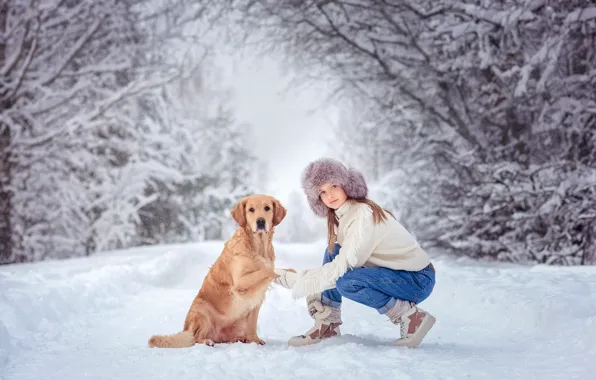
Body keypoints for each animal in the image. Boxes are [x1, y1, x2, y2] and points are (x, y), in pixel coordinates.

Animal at [150, 194, 288, 348]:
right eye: (251, 209)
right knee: (195, 337)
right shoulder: (240, 282)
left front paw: (254, 339)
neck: (258, 246)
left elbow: (252, 323)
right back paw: (206, 341)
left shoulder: (257, 299)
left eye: (267, 208)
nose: (260, 221)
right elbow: (265, 270)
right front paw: (281, 271)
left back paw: (240, 338)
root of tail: (186, 328)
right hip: (203, 311)